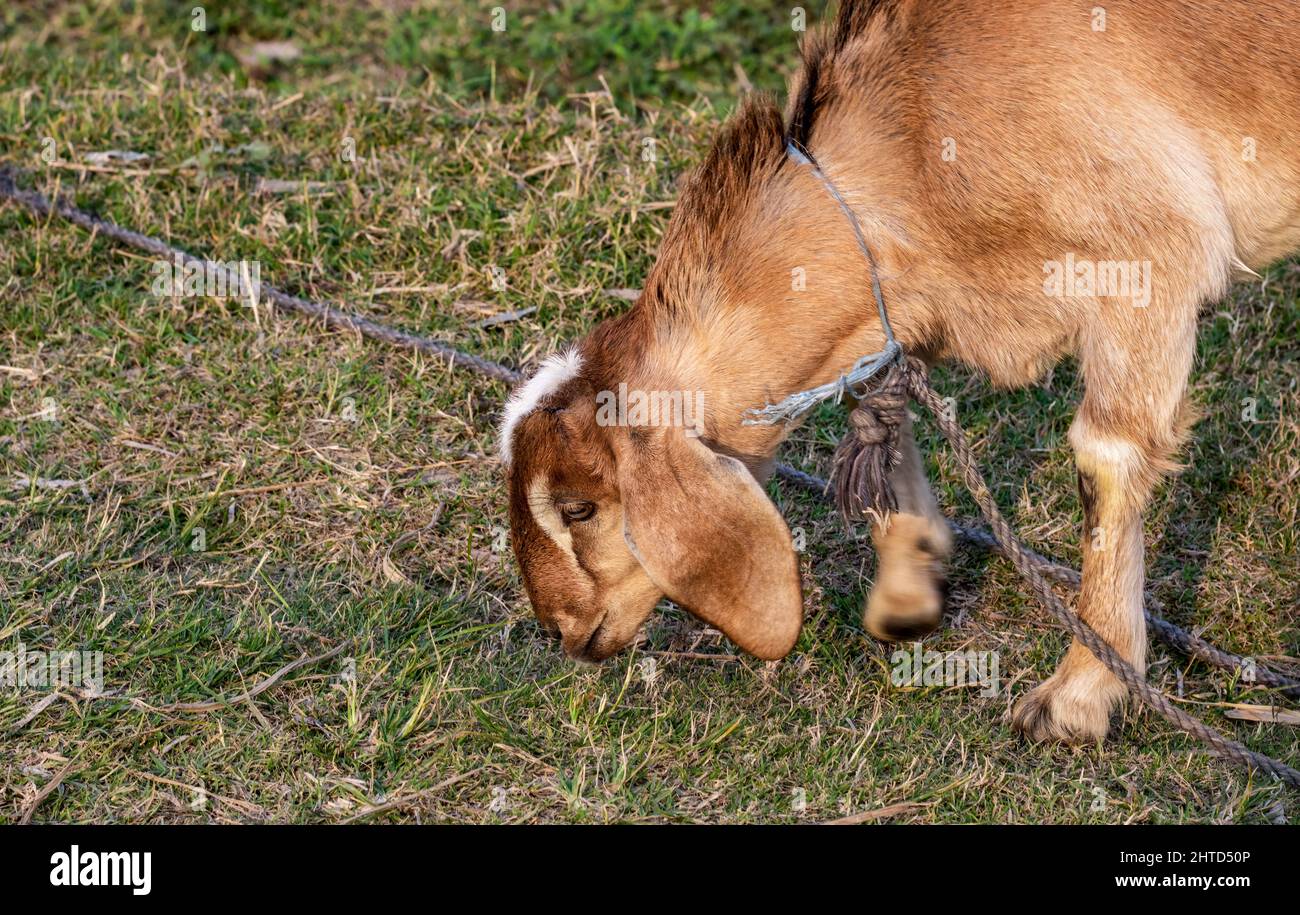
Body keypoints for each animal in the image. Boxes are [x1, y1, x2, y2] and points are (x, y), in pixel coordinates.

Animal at [493, 0, 1300, 743]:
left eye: (578, 508)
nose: (562, 628)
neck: (911, 148)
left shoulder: (1147, 261)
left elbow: (1106, 461)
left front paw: (1080, 693)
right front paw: (908, 595)